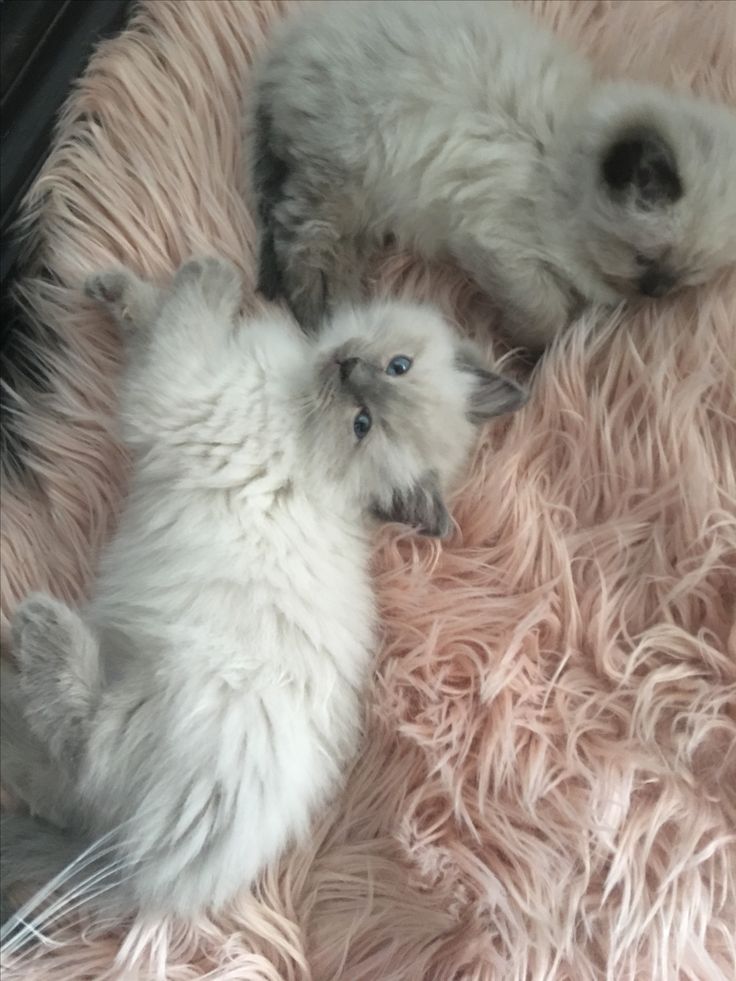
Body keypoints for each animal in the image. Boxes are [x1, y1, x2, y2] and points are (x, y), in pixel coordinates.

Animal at [1, 255, 528, 936]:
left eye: (363, 425)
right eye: (397, 367)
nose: (348, 369)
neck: (303, 408)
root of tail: (140, 877)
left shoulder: (179, 393)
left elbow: (184, 319)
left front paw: (212, 273)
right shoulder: (198, 376)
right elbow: (154, 316)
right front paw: (118, 285)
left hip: (162, 695)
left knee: (81, 739)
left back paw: (37, 632)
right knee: (61, 789)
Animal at [247, 0, 736, 350]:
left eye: (686, 277)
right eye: (643, 258)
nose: (655, 290)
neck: (557, 162)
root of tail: (287, 45)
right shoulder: (500, 243)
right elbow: (546, 316)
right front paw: (526, 353)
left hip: (361, 202)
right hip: (346, 175)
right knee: (303, 239)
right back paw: (327, 315)